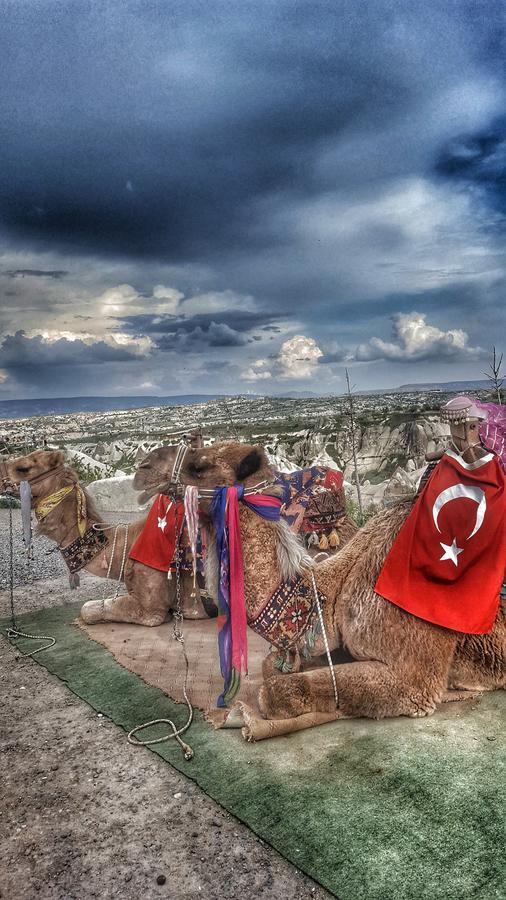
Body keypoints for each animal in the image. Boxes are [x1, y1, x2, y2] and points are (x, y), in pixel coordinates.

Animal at [134, 440, 506, 736]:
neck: (330, 590)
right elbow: (274, 665)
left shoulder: (415, 680)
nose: (142, 469)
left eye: (199, 465)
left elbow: (276, 690)